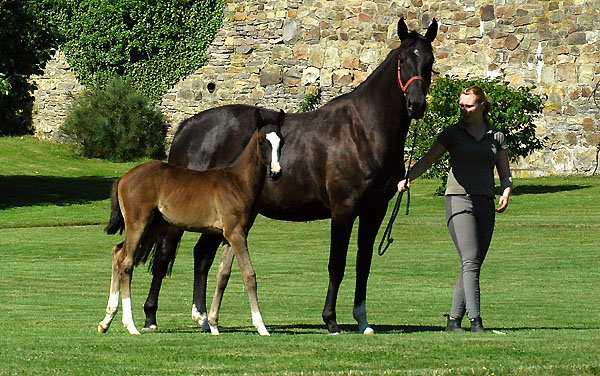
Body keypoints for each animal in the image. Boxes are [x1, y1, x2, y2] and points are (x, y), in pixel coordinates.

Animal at [97, 108, 284, 334]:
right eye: (262, 142)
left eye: (282, 141)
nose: (276, 172)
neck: (237, 181)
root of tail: (123, 178)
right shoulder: (235, 233)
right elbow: (249, 275)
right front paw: (261, 326)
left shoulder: (232, 235)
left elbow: (223, 275)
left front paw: (213, 324)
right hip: (138, 223)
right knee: (126, 262)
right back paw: (130, 325)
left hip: (152, 225)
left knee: (117, 252)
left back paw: (106, 320)